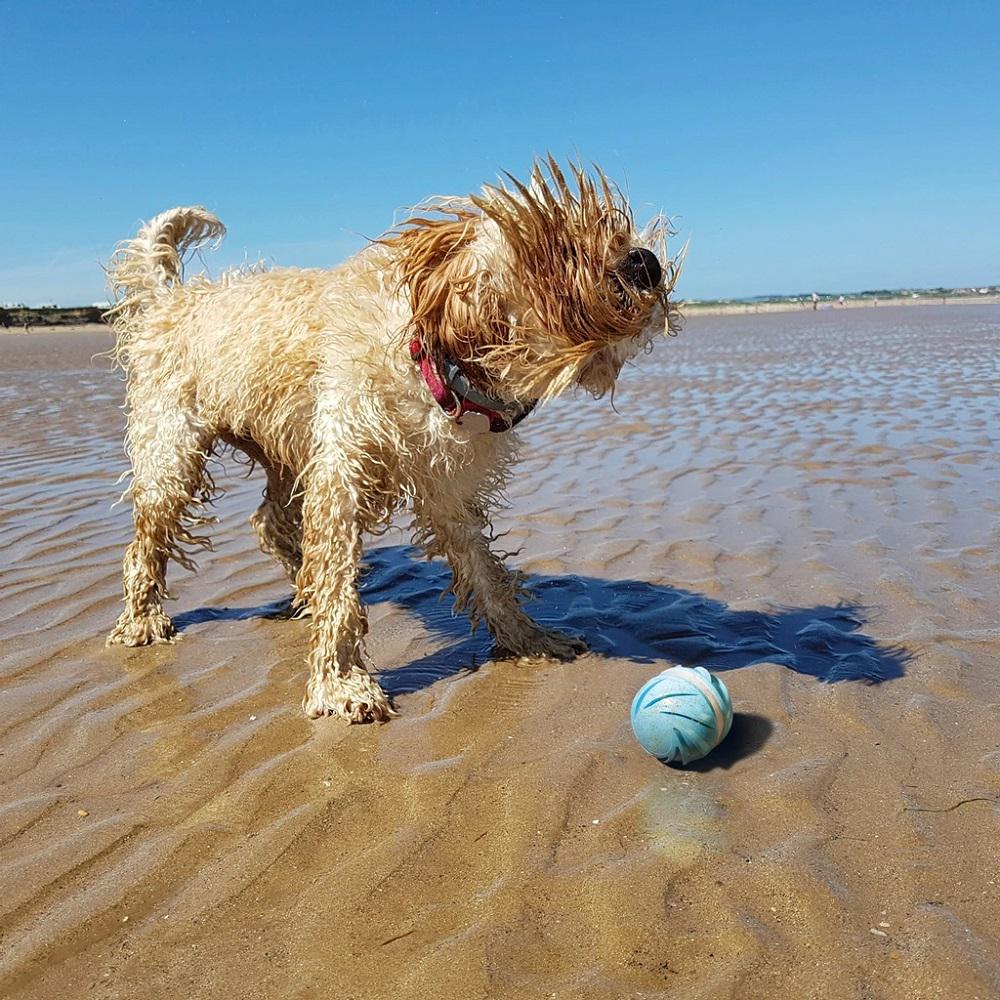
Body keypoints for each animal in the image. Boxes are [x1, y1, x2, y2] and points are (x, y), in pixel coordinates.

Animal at [107, 162, 680, 728]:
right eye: (562, 246)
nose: (646, 261)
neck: (437, 366)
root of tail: (172, 298)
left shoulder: (446, 488)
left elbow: (484, 573)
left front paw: (528, 638)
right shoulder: (341, 473)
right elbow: (338, 578)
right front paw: (342, 683)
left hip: (287, 448)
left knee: (268, 520)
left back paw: (299, 586)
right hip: (174, 455)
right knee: (148, 540)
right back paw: (142, 620)